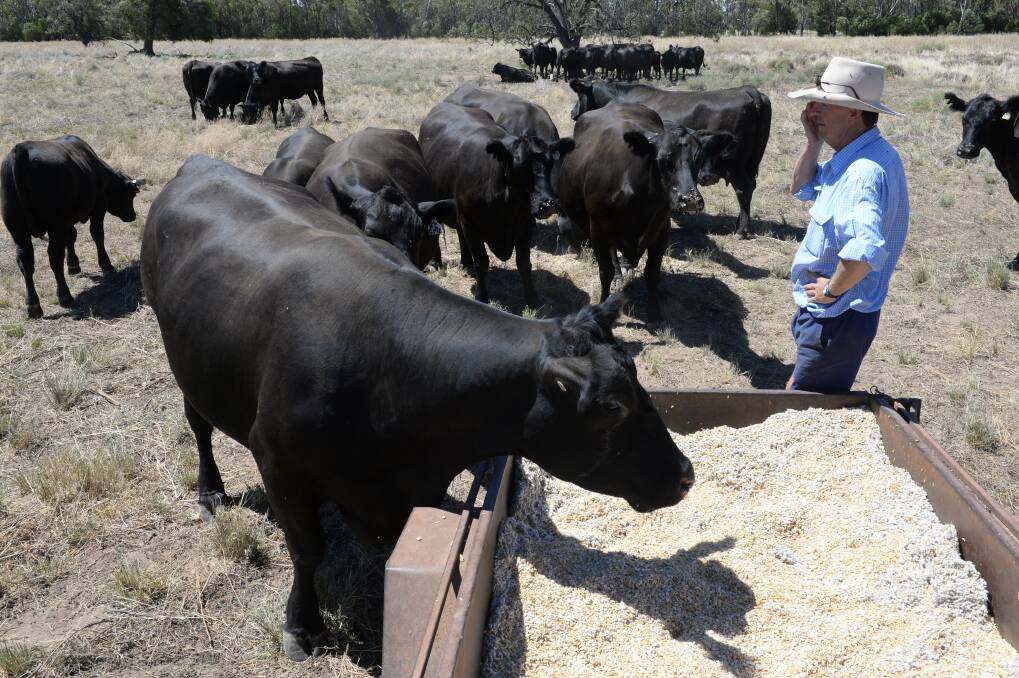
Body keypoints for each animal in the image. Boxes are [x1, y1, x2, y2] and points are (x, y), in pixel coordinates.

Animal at [1, 136, 143, 318]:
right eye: (131, 195)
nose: (132, 215)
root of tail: (20, 150)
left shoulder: (66, 222)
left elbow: (71, 237)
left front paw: (73, 265)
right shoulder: (98, 207)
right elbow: (97, 235)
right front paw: (106, 265)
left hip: (18, 230)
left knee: (25, 262)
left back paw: (34, 306)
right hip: (53, 225)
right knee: (54, 257)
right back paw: (65, 296)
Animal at [141, 154, 695, 661]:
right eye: (611, 407)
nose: (686, 475)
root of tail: (202, 164)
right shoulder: (278, 464)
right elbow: (308, 550)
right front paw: (303, 626)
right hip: (182, 361)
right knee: (199, 426)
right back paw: (211, 491)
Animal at [420, 102, 574, 306]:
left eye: (550, 164)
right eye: (519, 165)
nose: (548, 203)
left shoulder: (525, 225)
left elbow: (524, 263)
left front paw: (533, 300)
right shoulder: (471, 224)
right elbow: (482, 262)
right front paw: (481, 297)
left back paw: (465, 263)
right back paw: (436, 263)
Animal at [556, 102, 713, 322]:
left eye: (698, 160)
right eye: (663, 160)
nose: (689, 200)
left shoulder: (661, 230)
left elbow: (652, 272)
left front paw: (654, 312)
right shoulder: (598, 229)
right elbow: (605, 271)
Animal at [569, 79, 772, 238]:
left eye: (579, 95)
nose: (572, 112)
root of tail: (748, 90)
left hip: (735, 164)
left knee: (743, 190)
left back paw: (741, 230)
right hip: (749, 164)